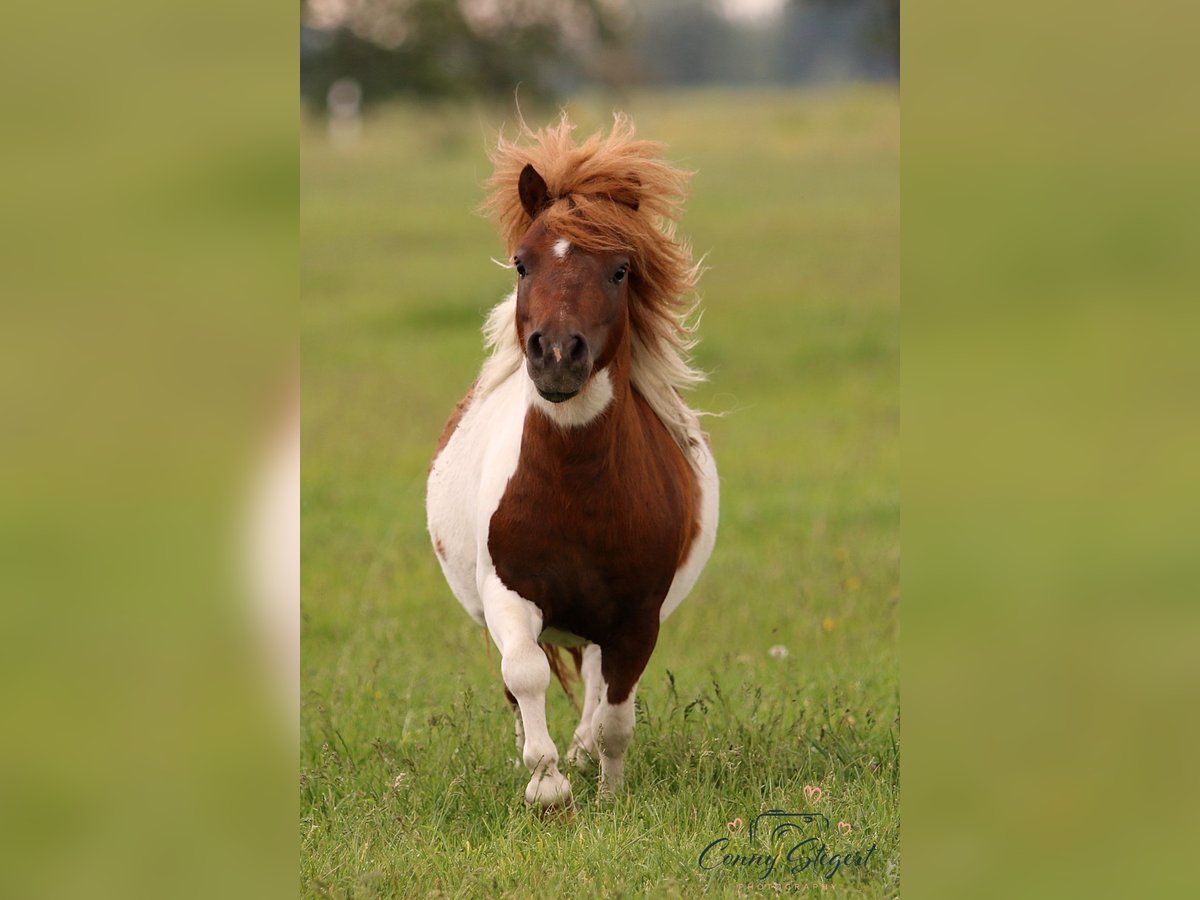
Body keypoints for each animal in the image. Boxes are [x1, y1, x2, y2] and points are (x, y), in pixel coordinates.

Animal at [427, 112, 715, 811]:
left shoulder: (637, 615)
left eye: (620, 270)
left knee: (595, 684)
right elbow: (525, 675)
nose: (557, 354)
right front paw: (547, 784)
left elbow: (615, 711)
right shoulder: (510, 594)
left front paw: (606, 789)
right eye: (522, 263)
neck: (576, 487)